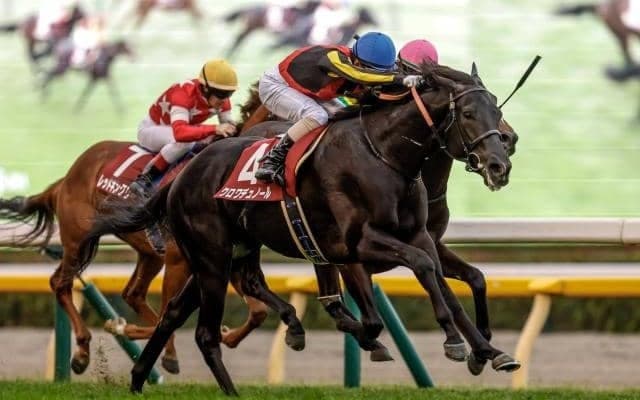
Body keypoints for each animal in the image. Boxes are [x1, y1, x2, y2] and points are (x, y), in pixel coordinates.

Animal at [76, 62, 519, 395]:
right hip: (211, 258)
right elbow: (420, 274)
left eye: (496, 110)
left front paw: (486, 349)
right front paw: (453, 342)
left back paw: (138, 380)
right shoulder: (359, 243)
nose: (500, 162)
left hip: (219, 256)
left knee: (174, 314)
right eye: (467, 114)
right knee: (204, 333)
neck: (385, 154)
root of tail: (181, 175)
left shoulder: (417, 237)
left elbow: (449, 282)